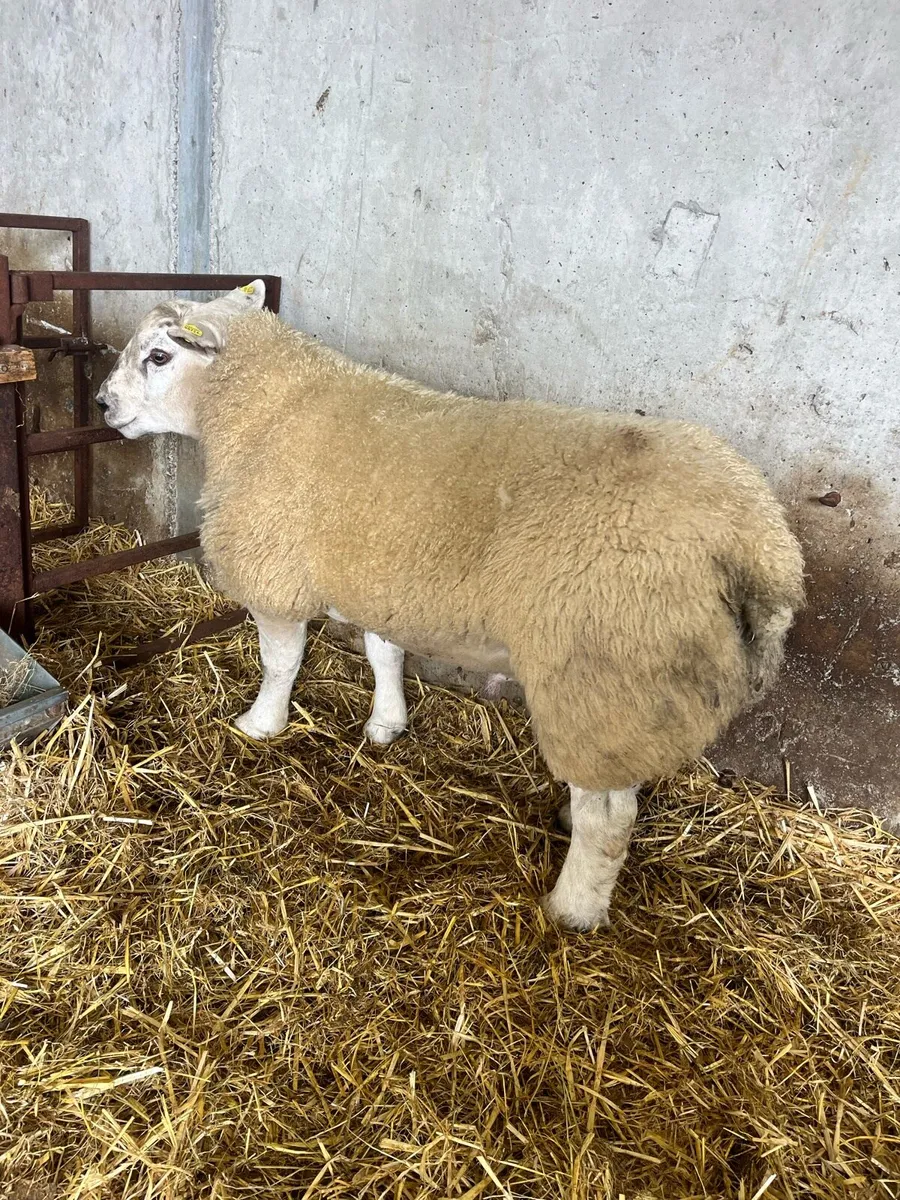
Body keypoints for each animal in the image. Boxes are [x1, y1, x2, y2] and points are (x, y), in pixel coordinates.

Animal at [97, 281, 805, 931]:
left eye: (159, 355)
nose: (102, 403)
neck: (260, 409)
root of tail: (762, 545)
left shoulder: (275, 574)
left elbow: (281, 663)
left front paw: (260, 724)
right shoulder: (383, 579)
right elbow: (384, 653)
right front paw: (387, 723)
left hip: (595, 673)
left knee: (610, 818)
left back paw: (571, 909)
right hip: (638, 689)